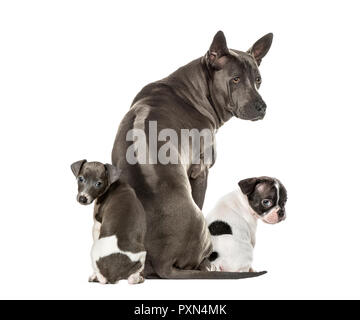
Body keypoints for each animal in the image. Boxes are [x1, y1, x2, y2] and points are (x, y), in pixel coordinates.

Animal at [112, 31, 272, 278]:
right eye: (235, 79)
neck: (192, 89)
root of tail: (162, 262)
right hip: (200, 224)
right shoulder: (200, 171)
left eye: (258, 80)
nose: (261, 106)